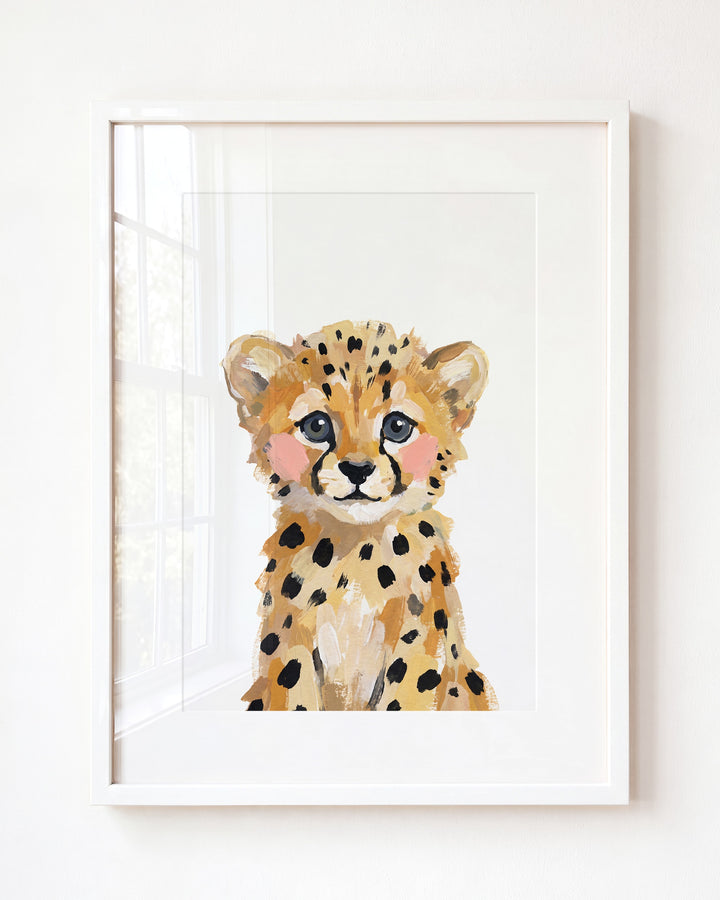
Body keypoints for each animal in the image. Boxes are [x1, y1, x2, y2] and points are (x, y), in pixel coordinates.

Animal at [222, 320, 498, 711]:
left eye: (397, 426)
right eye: (316, 426)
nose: (357, 469)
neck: (357, 551)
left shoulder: (417, 644)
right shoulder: (291, 641)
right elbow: (295, 695)